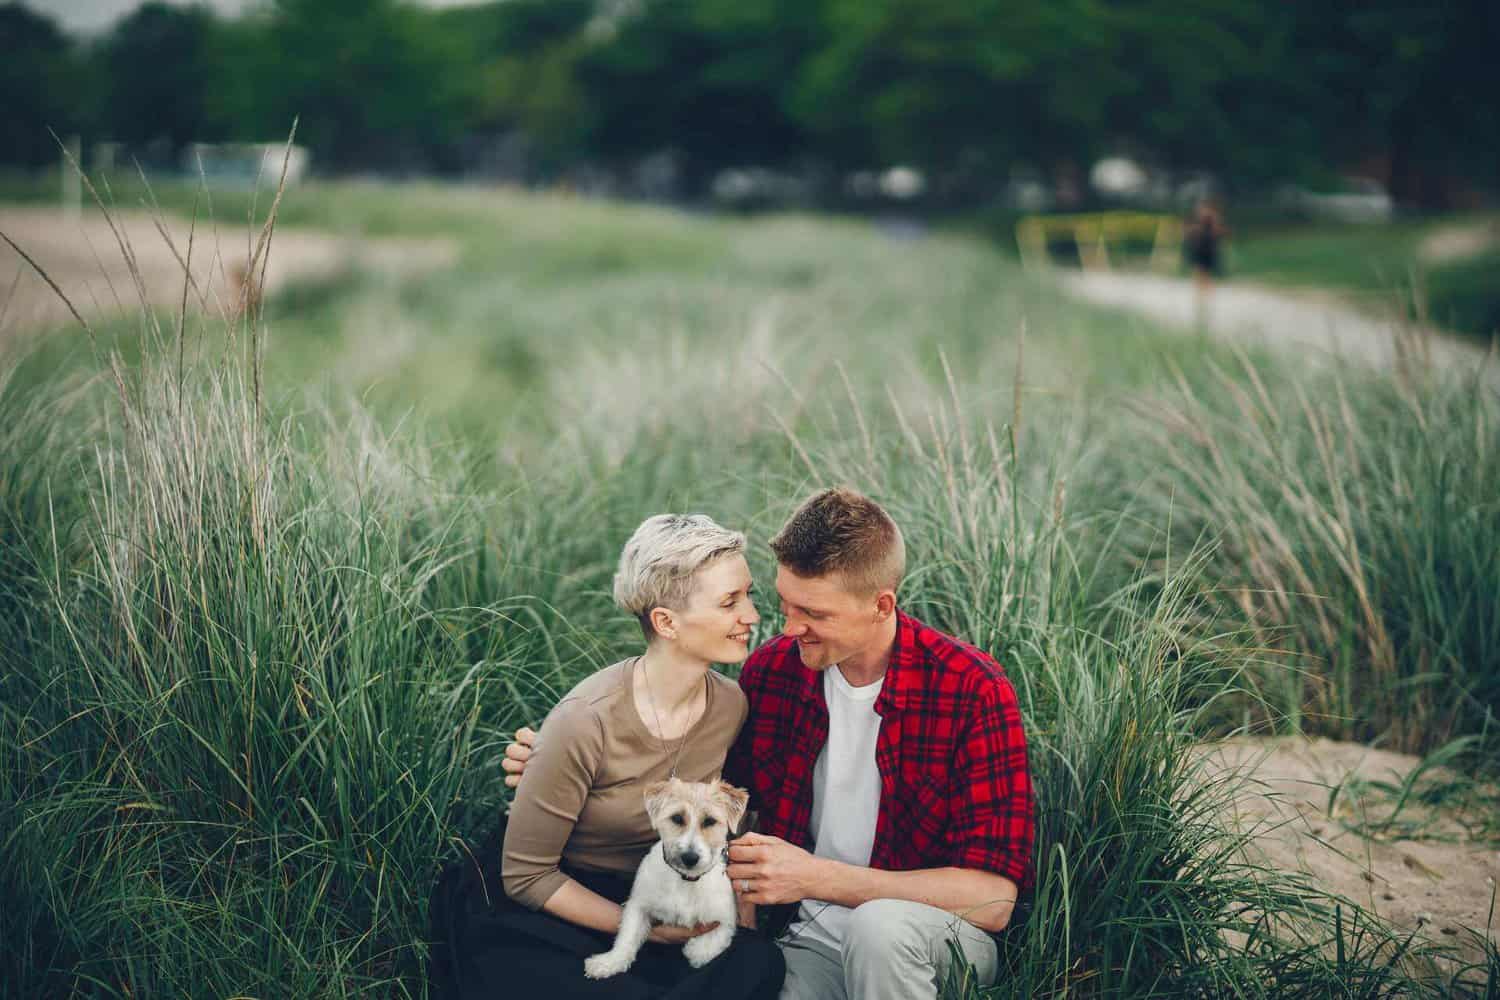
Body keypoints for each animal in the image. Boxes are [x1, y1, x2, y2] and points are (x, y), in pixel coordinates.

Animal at [582, 773, 750, 977]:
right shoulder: (638, 906)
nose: (690, 858)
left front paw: (695, 948)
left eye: (710, 821)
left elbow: (712, 942)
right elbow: (627, 936)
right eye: (677, 818)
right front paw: (610, 962)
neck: (687, 881)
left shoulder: (727, 919)